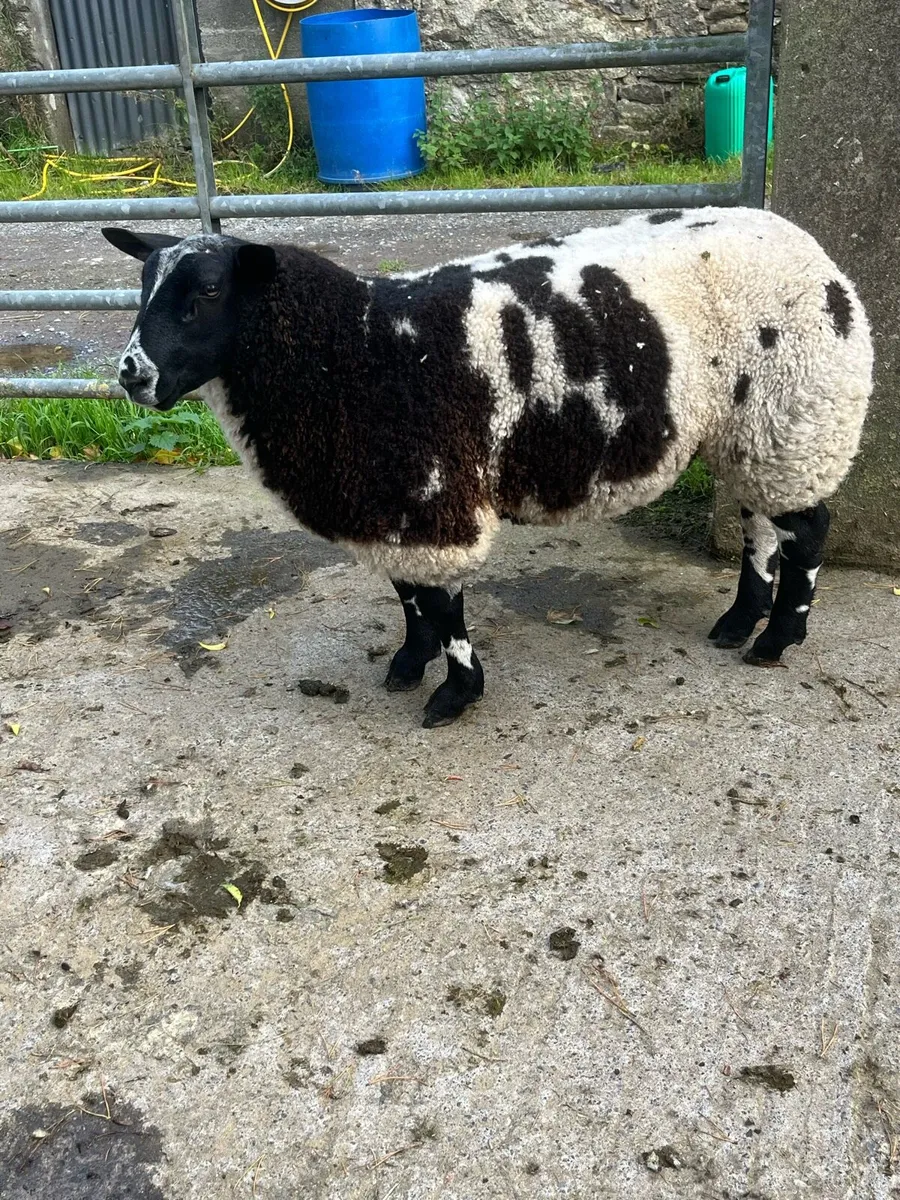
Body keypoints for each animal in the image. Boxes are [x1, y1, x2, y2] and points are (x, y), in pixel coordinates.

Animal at [102, 207, 873, 727]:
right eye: (142, 289)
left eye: (206, 292)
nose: (131, 375)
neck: (354, 346)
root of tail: (806, 244)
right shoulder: (397, 495)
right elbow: (410, 594)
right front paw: (409, 664)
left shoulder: (432, 490)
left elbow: (444, 604)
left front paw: (455, 692)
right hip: (756, 428)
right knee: (759, 523)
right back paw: (738, 620)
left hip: (797, 412)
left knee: (808, 529)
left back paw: (776, 638)